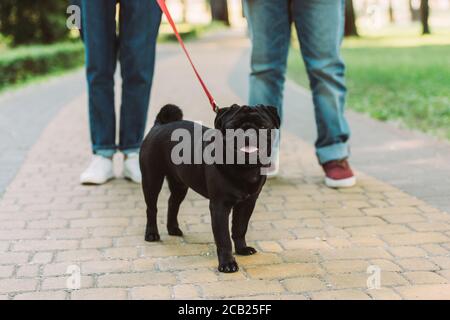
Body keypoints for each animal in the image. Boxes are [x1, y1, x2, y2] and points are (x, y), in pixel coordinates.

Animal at [141, 104, 280, 272]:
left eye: (263, 126)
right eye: (232, 127)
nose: (247, 133)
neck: (245, 169)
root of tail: (160, 125)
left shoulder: (247, 203)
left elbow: (240, 228)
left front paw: (241, 249)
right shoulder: (220, 206)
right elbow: (223, 238)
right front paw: (227, 263)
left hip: (180, 184)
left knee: (172, 203)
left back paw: (173, 229)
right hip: (152, 180)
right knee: (151, 208)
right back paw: (151, 234)